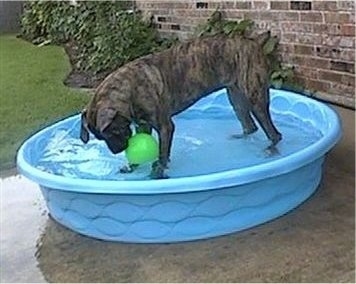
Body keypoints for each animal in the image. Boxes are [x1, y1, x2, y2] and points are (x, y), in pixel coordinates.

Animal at [80, 31, 280, 178]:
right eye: (100, 138)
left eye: (112, 132)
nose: (116, 151)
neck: (129, 87)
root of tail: (254, 42)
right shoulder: (143, 125)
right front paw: (132, 167)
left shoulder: (165, 127)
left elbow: (162, 154)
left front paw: (157, 173)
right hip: (235, 97)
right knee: (250, 125)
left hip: (255, 97)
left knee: (274, 133)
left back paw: (271, 149)